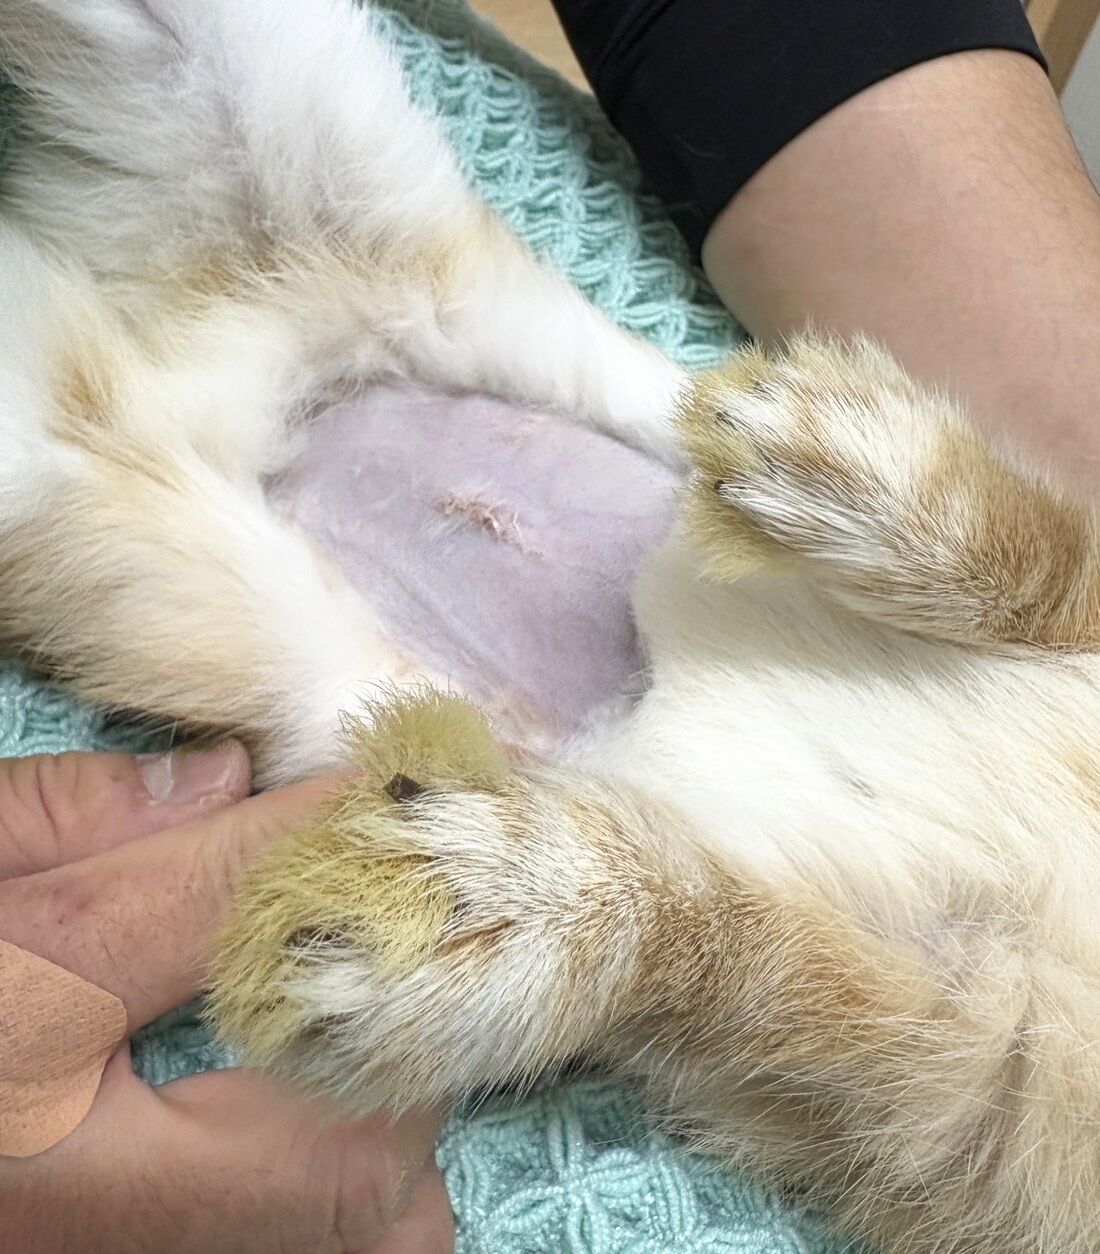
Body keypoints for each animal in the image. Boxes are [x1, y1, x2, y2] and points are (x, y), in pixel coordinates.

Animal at [2, 3, 1098, 1252]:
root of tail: (235, 383)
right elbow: (1035, 566)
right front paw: (814, 448)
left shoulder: (954, 1064)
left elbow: (723, 943)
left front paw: (420, 914)